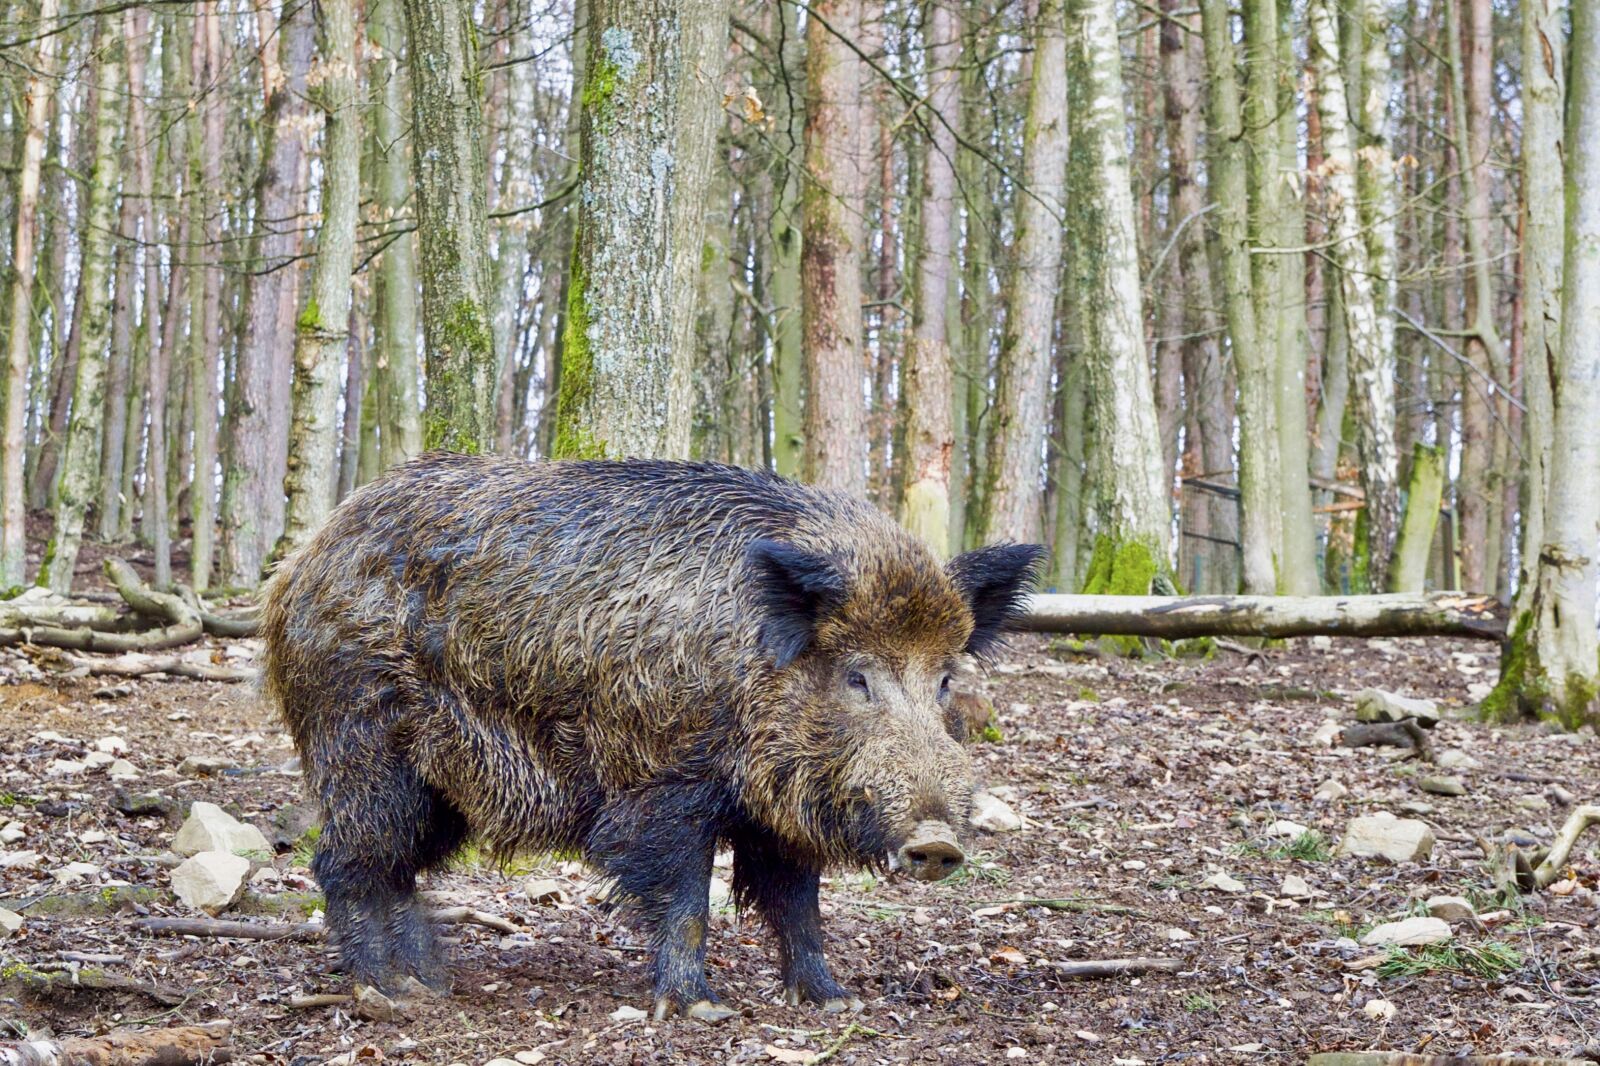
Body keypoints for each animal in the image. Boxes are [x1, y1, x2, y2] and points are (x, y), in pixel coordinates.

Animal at [262, 453, 1042, 1020]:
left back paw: (429, 981)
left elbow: (798, 903)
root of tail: (300, 564)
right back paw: (388, 994)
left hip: (436, 790)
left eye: (944, 679)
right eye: (857, 677)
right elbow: (687, 898)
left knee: (395, 867)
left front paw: (831, 1001)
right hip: (361, 742)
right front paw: (701, 1010)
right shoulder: (665, 784)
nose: (938, 842)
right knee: (344, 861)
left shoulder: (777, 812)